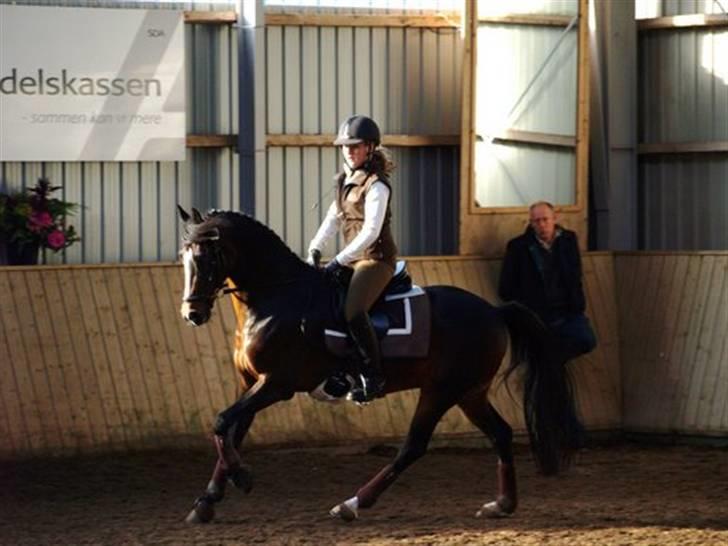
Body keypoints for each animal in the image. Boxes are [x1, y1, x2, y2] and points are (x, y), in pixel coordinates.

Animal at [175, 205, 580, 524]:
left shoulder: (278, 383)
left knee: (414, 446)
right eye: (184, 258)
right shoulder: (250, 382)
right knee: (500, 434)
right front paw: (208, 501)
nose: (192, 314)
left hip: (442, 390)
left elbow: (222, 422)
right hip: (470, 393)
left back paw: (352, 504)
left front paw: (240, 478)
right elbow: (231, 431)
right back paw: (502, 504)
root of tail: (495, 311)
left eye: (207, 258)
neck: (277, 297)